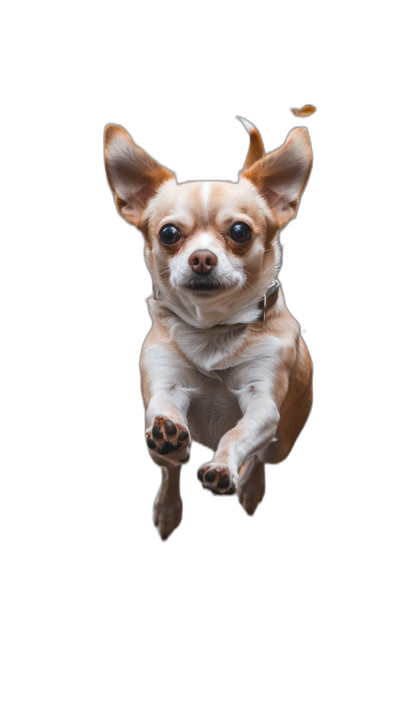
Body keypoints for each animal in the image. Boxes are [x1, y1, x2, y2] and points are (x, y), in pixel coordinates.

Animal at [102, 117, 312, 540]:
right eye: (168, 234)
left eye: (240, 231)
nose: (202, 258)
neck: (212, 329)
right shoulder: (164, 388)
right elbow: (167, 416)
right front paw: (171, 438)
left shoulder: (263, 404)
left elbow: (237, 435)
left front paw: (224, 469)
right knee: (168, 466)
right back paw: (169, 491)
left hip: (283, 439)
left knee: (261, 455)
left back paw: (249, 487)